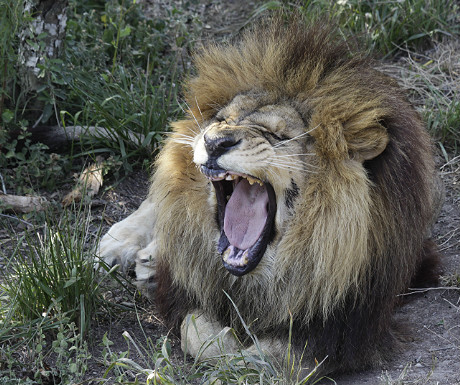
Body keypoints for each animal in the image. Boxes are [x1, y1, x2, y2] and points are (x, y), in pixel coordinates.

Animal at [98, 16, 442, 374]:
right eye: (221, 120)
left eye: (278, 135)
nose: (215, 141)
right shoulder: (190, 292)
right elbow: (194, 332)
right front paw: (223, 345)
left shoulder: (351, 320)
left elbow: (277, 359)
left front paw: (241, 357)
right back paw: (122, 246)